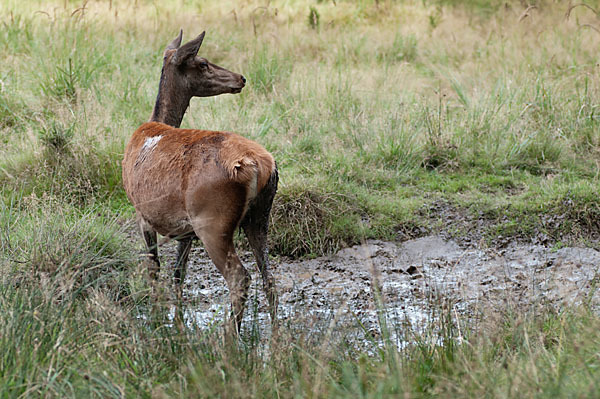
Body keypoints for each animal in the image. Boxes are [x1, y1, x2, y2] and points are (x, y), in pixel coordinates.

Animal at [122, 30, 282, 332]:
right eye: (203, 62)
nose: (241, 78)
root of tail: (259, 166)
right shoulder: (184, 230)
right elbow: (178, 274)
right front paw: (177, 325)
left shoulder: (142, 213)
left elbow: (154, 267)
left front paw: (157, 320)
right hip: (260, 217)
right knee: (270, 278)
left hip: (213, 220)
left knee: (240, 277)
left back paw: (229, 336)